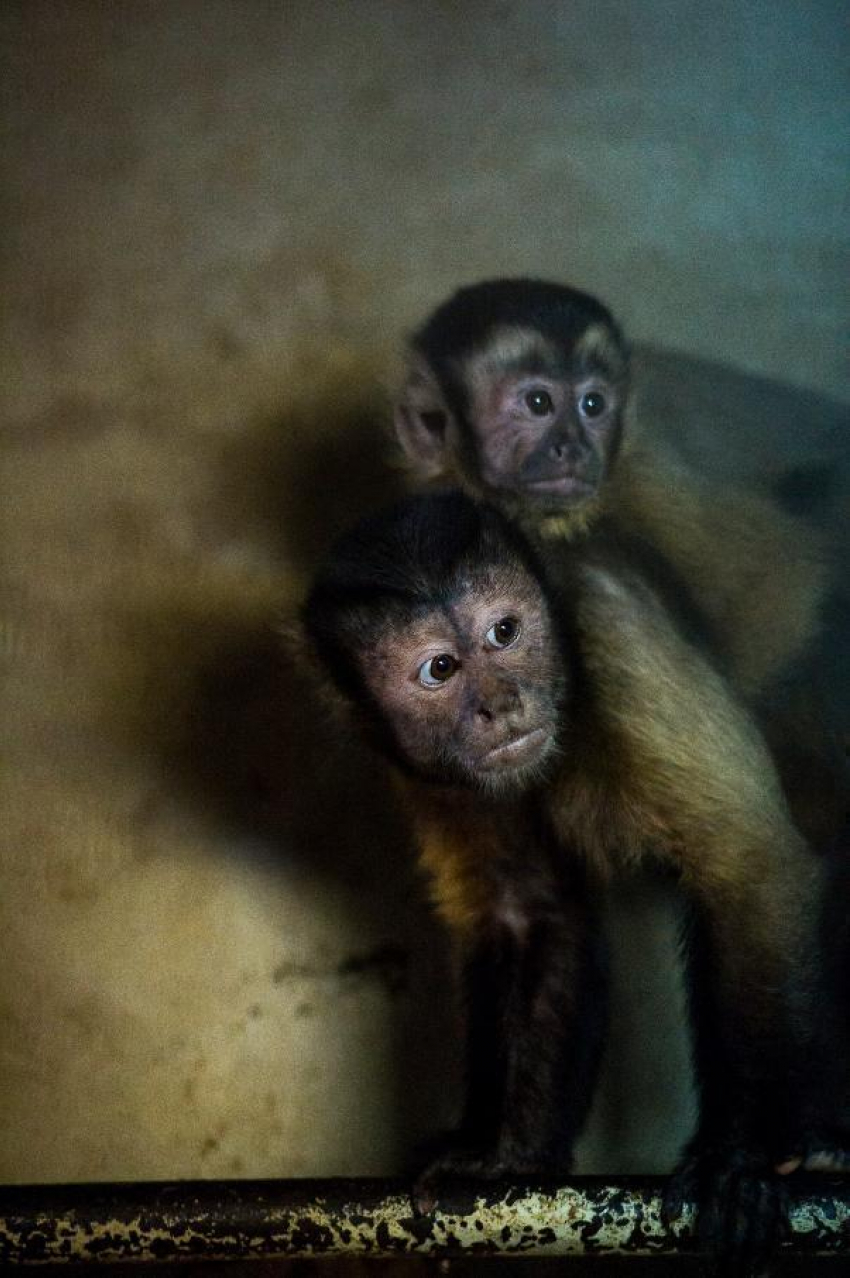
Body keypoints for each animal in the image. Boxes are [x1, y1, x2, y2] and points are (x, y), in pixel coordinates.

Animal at [302, 488, 848, 1267]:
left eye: (504, 632)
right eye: (439, 670)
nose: (501, 703)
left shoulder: (617, 637)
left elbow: (750, 869)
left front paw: (741, 1160)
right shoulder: (426, 765)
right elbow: (532, 911)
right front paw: (506, 1155)